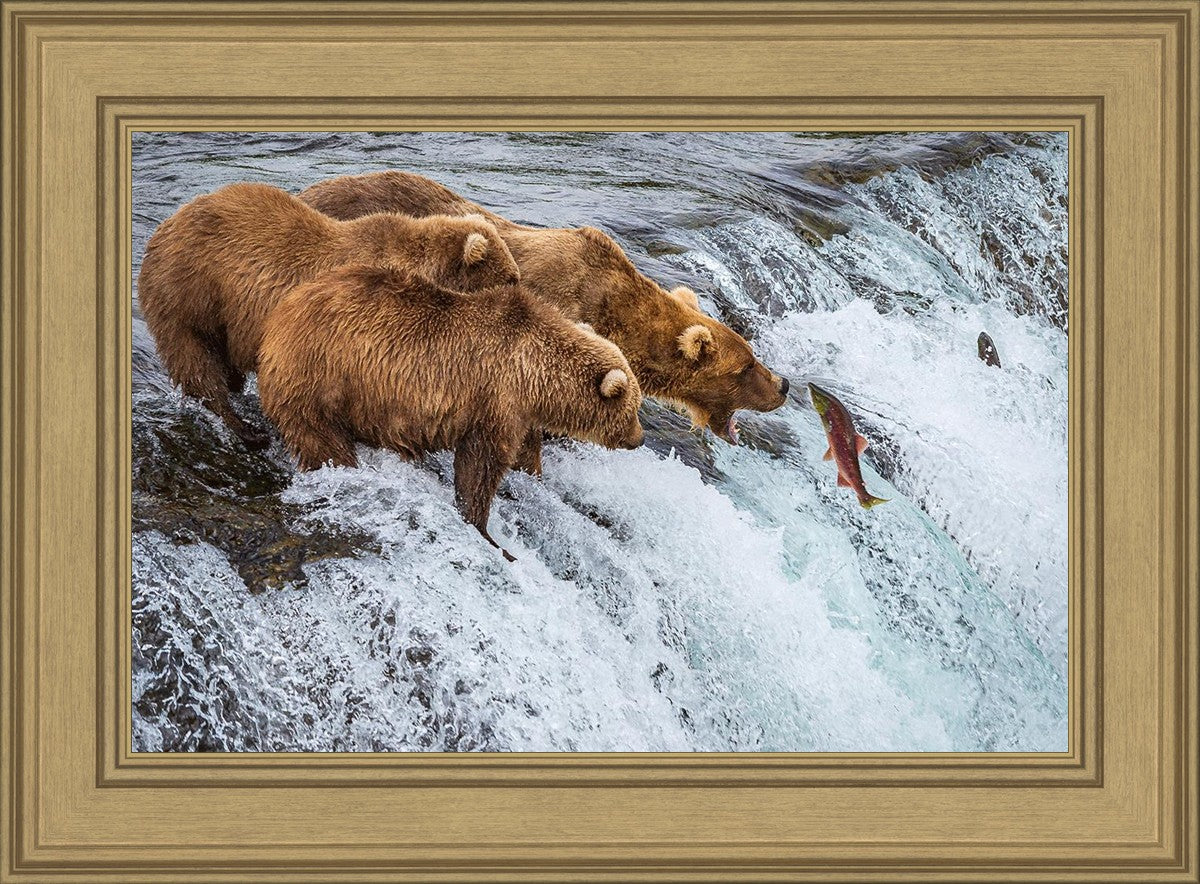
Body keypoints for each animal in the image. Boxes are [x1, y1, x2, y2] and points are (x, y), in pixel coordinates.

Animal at [137, 181, 520, 448]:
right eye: (511, 277)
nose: (522, 291)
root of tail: (164, 226)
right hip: (190, 293)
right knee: (196, 362)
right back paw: (245, 429)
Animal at [257, 263, 645, 560]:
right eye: (633, 409)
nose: (639, 439)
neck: (535, 374)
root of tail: (278, 317)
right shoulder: (495, 398)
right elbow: (480, 466)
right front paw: (488, 532)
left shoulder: (519, 412)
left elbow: (523, 454)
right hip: (320, 378)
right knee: (322, 440)